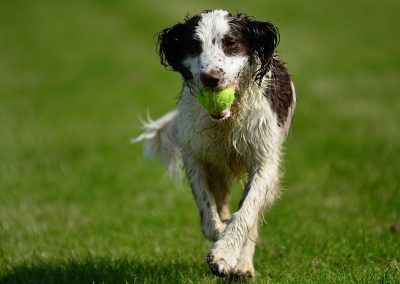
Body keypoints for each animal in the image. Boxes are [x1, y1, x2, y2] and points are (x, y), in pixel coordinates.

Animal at [136, 9, 296, 280]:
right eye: (193, 45)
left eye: (230, 43)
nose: (211, 78)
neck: (227, 121)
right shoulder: (196, 156)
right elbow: (208, 210)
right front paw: (219, 233)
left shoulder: (264, 161)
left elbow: (246, 212)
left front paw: (224, 256)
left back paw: (243, 265)